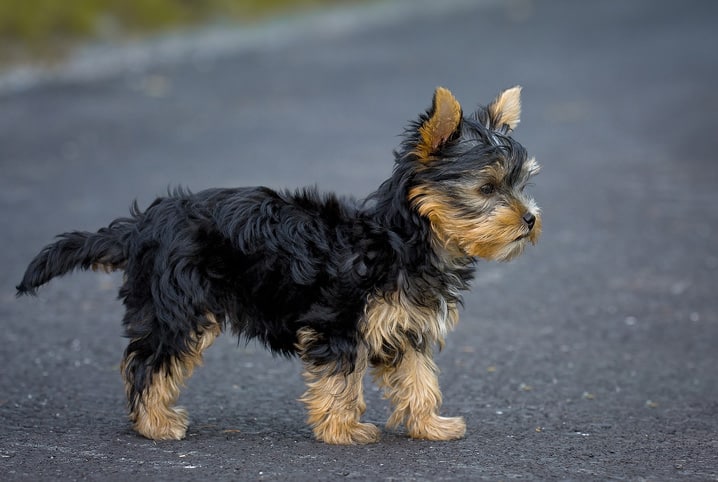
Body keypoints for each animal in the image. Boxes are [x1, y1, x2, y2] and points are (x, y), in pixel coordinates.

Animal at [18, 86, 540, 444]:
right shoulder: (339, 323)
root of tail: (144, 225)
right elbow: (341, 379)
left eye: (521, 185)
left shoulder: (404, 326)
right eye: (487, 188)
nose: (531, 219)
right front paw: (343, 430)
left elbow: (419, 378)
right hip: (179, 306)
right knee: (151, 362)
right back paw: (155, 424)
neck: (402, 239)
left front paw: (431, 424)